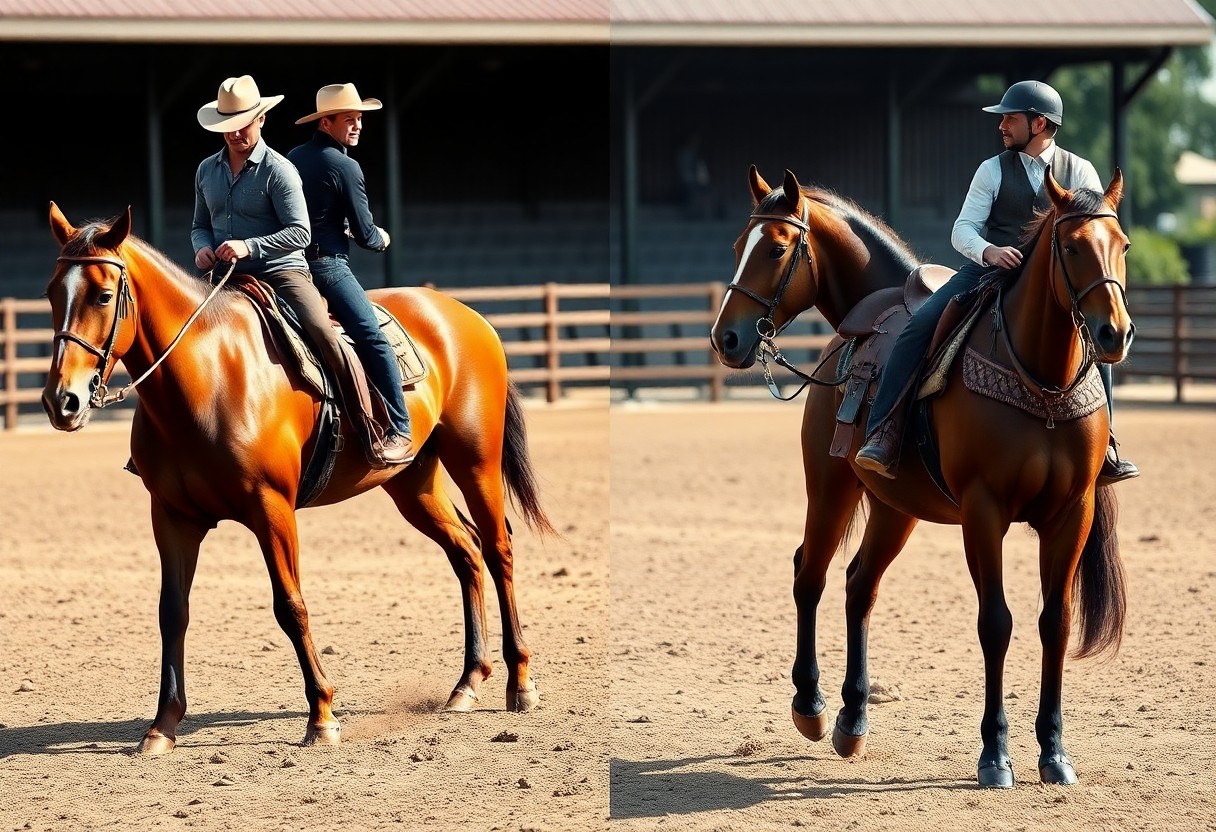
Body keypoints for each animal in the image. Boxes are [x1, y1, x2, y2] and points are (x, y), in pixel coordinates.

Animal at [42, 203, 556, 754]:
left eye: (103, 295)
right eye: (51, 293)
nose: (61, 401)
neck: (211, 375)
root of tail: (467, 315)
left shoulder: (272, 508)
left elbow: (290, 606)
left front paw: (322, 715)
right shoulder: (172, 518)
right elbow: (172, 612)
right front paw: (162, 727)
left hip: (475, 460)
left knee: (498, 549)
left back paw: (520, 683)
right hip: (412, 481)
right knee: (466, 551)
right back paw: (466, 683)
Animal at [709, 167, 1132, 788]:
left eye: (1120, 245)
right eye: (1073, 247)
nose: (727, 338)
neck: (1041, 380)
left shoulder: (1070, 513)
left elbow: (1054, 623)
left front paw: (1054, 752)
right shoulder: (984, 512)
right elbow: (995, 624)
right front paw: (994, 754)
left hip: (894, 508)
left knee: (858, 585)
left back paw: (852, 718)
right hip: (830, 488)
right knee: (810, 575)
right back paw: (810, 707)